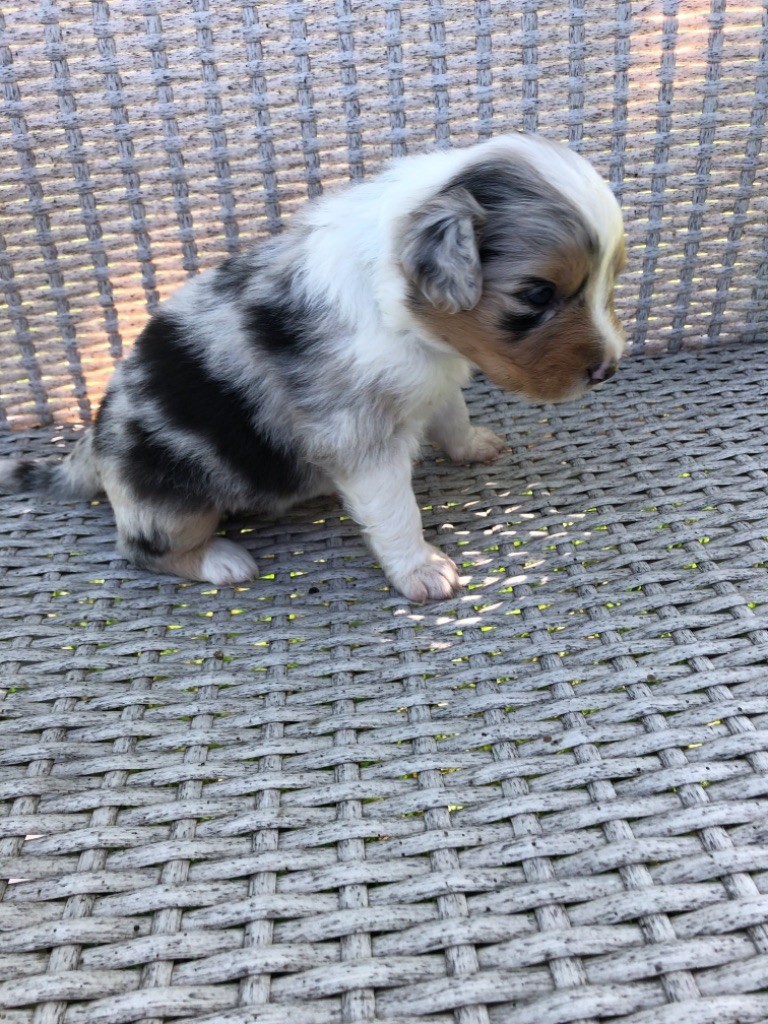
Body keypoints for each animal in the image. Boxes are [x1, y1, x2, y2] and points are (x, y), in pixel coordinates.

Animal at [0, 134, 626, 602]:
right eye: (538, 294)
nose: (608, 371)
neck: (412, 327)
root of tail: (92, 445)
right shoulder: (360, 438)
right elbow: (396, 510)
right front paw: (421, 570)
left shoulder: (436, 373)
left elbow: (450, 411)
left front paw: (470, 444)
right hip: (171, 498)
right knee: (141, 548)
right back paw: (219, 561)